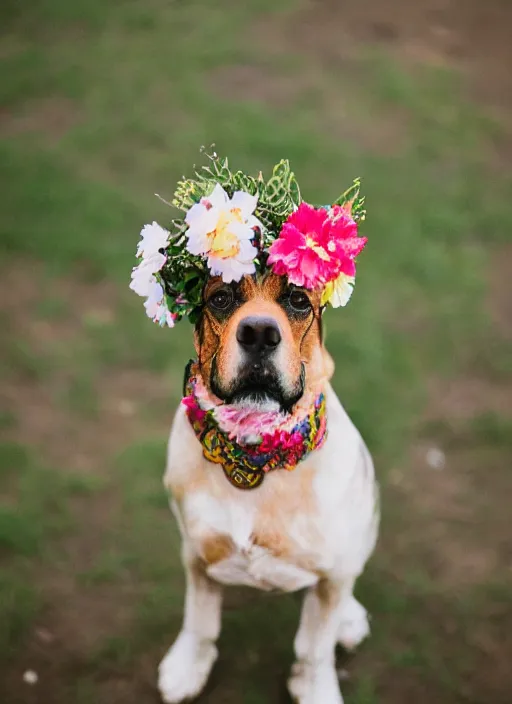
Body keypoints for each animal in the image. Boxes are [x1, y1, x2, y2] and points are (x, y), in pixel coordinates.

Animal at [158, 270, 378, 704]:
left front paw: (316, 690)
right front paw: (188, 666)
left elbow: (314, 649)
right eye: (221, 298)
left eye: (298, 300)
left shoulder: (332, 575)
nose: (259, 333)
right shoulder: (196, 551)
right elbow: (200, 622)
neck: (257, 456)